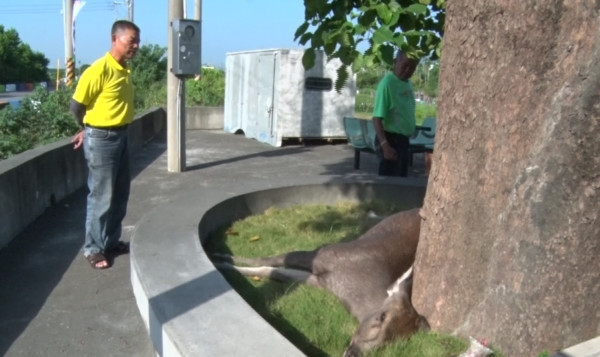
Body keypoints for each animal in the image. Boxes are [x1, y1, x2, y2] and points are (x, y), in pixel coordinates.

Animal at [213, 206, 428, 356]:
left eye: (396, 342)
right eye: (381, 316)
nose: (353, 353)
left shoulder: (321, 281)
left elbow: (275, 272)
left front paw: (224, 262)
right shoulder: (323, 254)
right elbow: (268, 261)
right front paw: (220, 258)